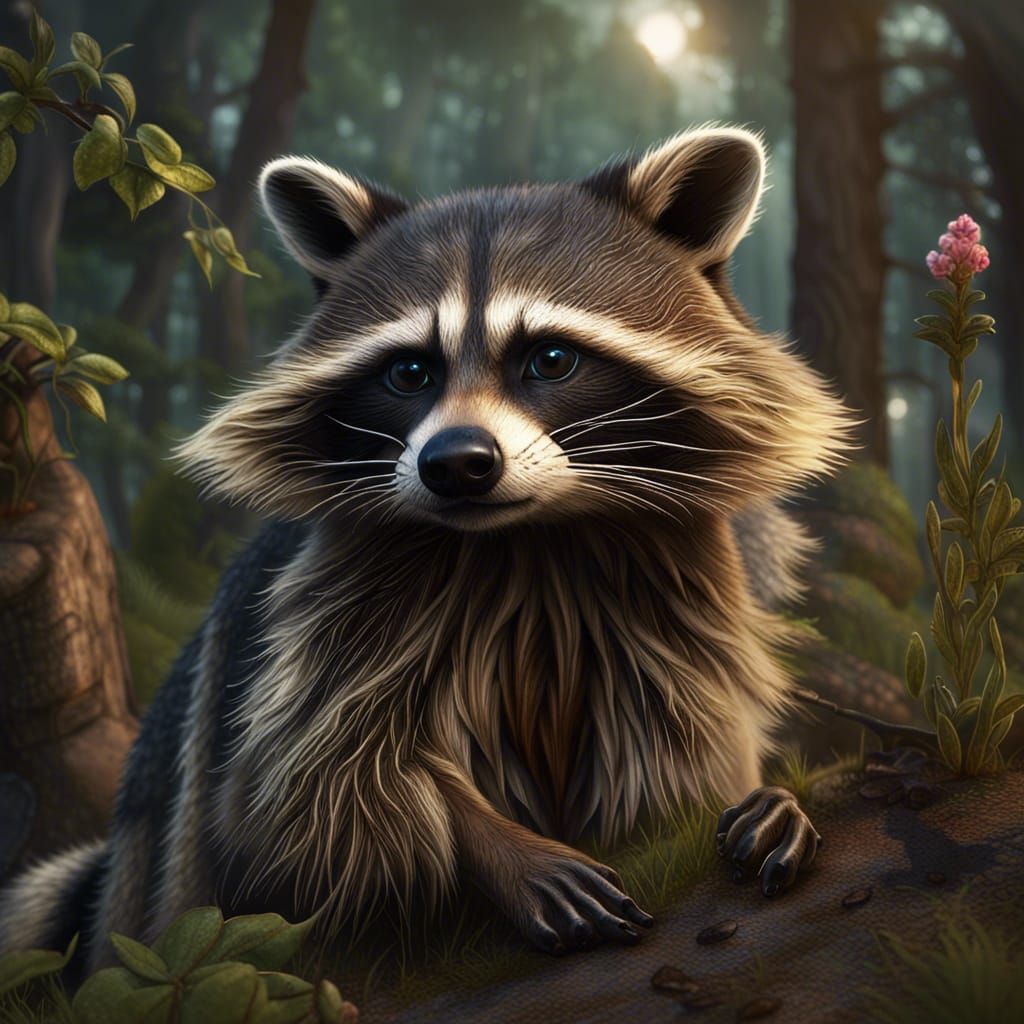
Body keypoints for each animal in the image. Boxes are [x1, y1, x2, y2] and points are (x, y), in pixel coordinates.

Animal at [0, 126, 852, 972]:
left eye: (550, 360)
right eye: (410, 371)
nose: (458, 463)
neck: (529, 540)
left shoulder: (673, 600)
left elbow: (674, 752)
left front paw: (765, 795)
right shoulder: (328, 611)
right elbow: (317, 791)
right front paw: (495, 844)